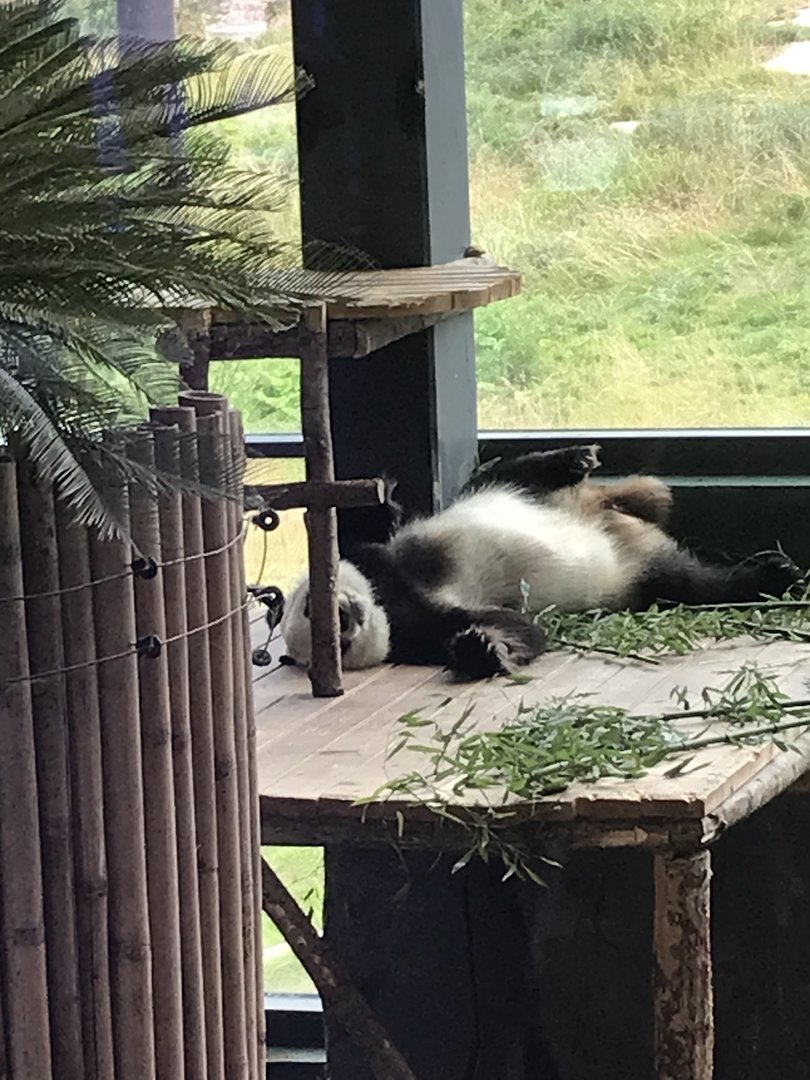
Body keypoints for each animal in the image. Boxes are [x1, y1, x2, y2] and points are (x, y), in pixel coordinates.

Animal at [280, 445, 802, 680]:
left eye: (311, 606)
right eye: (327, 636)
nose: (346, 618)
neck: (385, 601)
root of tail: (608, 517)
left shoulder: (380, 559)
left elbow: (367, 526)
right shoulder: (415, 629)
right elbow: (514, 626)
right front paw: (481, 648)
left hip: (521, 495)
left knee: (510, 473)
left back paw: (570, 459)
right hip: (637, 575)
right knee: (691, 582)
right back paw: (769, 575)